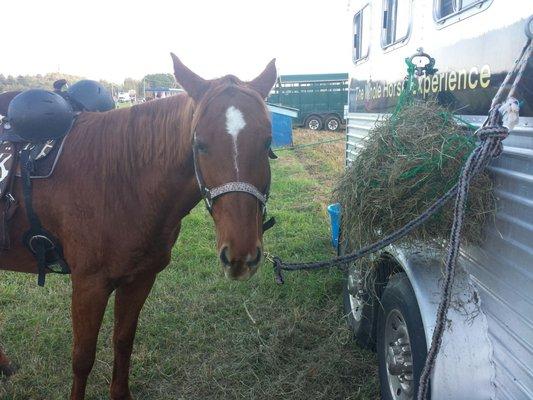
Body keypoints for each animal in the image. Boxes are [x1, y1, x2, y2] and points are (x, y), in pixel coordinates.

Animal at [0, 54, 274, 400]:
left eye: (267, 142)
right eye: (200, 144)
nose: (240, 256)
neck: (121, 181)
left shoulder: (140, 278)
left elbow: (123, 342)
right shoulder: (89, 285)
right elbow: (82, 358)